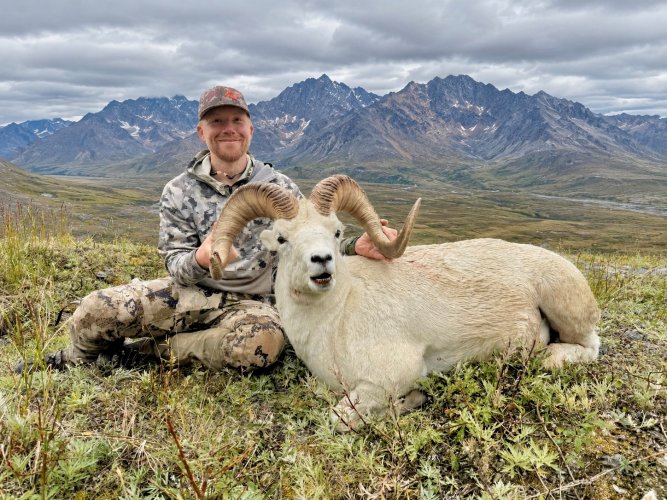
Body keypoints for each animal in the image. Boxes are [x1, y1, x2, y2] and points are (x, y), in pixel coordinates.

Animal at [209, 175, 601, 431]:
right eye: (281, 238)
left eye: (336, 231)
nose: (321, 261)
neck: (335, 320)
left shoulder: (388, 378)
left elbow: (342, 418)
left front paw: (413, 401)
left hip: (565, 307)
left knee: (589, 346)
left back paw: (548, 356)